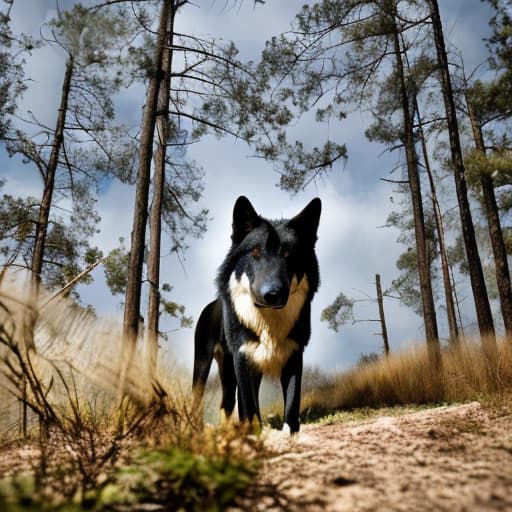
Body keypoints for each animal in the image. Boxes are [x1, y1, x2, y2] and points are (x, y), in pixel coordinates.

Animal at [192, 195, 320, 432]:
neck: (268, 323)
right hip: (205, 365)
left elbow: (291, 406)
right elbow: (250, 409)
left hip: (231, 371)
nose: (272, 294)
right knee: (199, 399)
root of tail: (211, 305)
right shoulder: (243, 358)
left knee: (226, 403)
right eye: (256, 252)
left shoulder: (294, 356)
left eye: (288, 255)